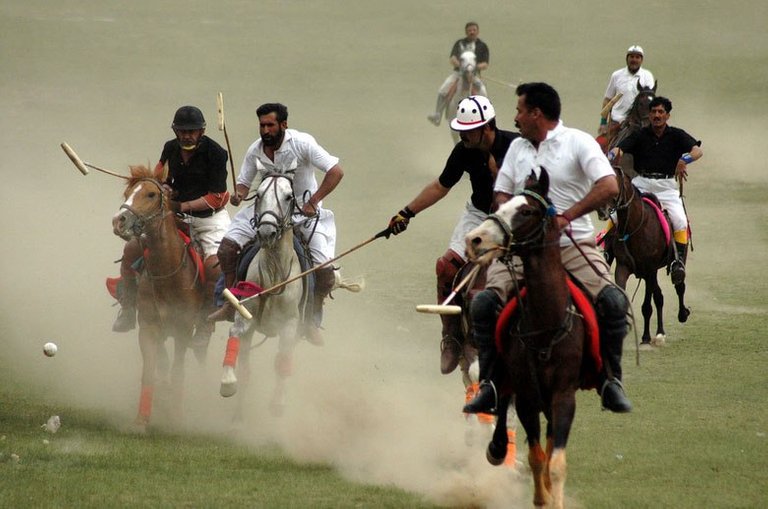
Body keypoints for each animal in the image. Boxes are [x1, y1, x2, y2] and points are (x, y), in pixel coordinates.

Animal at [111, 166, 207, 428]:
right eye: (127, 193)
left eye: (151, 194)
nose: (119, 221)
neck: (168, 274)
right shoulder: (149, 326)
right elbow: (150, 371)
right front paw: (141, 420)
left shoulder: (184, 329)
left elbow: (178, 371)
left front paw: (177, 417)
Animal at [219, 173, 304, 414]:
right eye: (258, 195)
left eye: (288, 196)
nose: (267, 232)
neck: (274, 275)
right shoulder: (246, 315)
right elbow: (235, 336)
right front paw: (228, 383)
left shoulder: (290, 323)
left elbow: (283, 358)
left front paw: (278, 402)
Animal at [462, 171, 592, 508]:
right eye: (502, 205)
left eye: (526, 211)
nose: (475, 240)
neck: (545, 327)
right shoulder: (526, 395)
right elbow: (535, 455)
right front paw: (540, 496)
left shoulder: (564, 394)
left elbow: (555, 460)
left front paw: (553, 494)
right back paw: (497, 449)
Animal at [608, 167, 688, 346]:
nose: (602, 209)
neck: (633, 227)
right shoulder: (623, 267)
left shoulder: (650, 269)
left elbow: (647, 305)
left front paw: (645, 337)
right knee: (659, 296)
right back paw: (659, 332)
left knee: (679, 285)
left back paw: (680, 315)